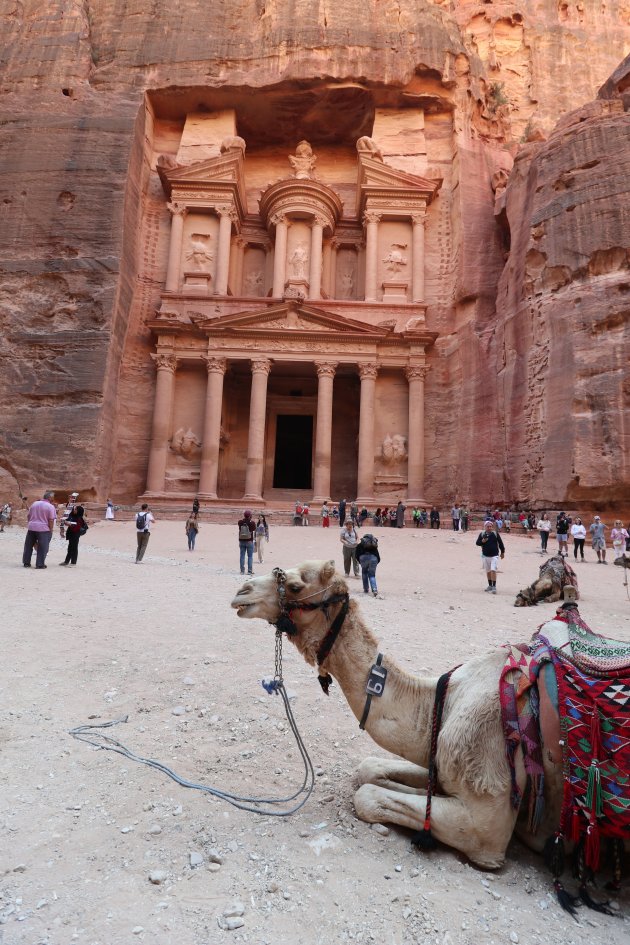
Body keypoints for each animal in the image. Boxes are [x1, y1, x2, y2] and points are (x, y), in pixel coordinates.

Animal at [232, 556, 568, 868]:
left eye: (295, 586)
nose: (241, 592)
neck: (443, 701)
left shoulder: (487, 822)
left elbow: (366, 796)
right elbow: (369, 770)